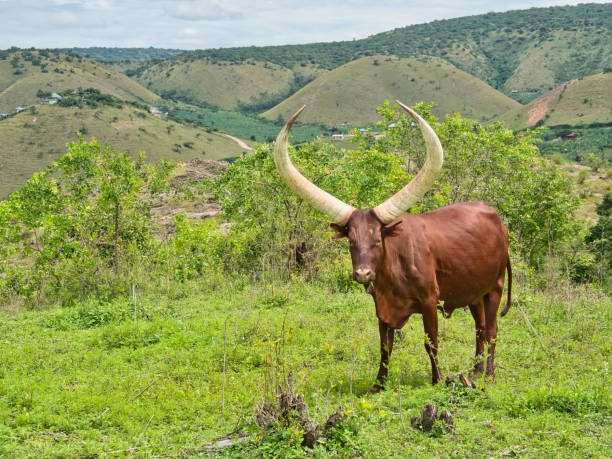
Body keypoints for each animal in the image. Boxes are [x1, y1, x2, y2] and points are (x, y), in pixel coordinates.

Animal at [272, 101, 512, 392]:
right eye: (351, 241)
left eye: (378, 239)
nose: (363, 274)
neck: (393, 270)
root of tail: (497, 219)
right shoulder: (381, 308)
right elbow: (385, 347)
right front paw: (379, 384)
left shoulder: (429, 301)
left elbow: (431, 343)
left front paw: (437, 379)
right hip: (474, 293)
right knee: (480, 329)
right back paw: (475, 371)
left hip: (495, 288)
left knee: (492, 331)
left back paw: (489, 374)